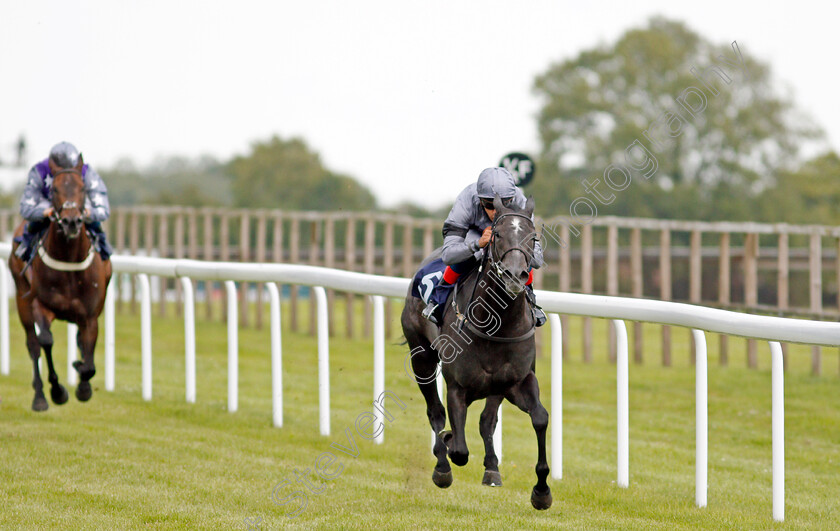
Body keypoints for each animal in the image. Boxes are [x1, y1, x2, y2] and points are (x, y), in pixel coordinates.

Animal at [8, 156, 112, 414]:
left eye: (83, 188)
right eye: (54, 189)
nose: (71, 221)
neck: (69, 260)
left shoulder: (90, 316)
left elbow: (89, 359)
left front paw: (82, 383)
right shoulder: (40, 305)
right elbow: (45, 341)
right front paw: (58, 391)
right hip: (22, 299)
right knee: (33, 345)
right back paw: (40, 397)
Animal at [400, 195, 552, 512]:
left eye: (533, 237)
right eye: (497, 235)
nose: (515, 275)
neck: (496, 323)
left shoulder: (518, 381)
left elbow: (540, 418)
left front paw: (542, 491)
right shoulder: (457, 386)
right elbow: (458, 449)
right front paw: (446, 448)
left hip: (496, 386)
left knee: (486, 421)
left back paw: (492, 467)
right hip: (421, 358)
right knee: (435, 412)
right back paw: (442, 462)